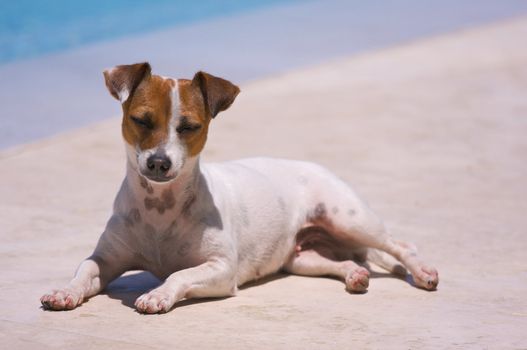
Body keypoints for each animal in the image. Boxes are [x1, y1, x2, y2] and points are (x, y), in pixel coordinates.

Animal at [40, 63, 438, 314]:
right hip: (301, 257)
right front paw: (65, 291)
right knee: (342, 262)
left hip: (349, 219)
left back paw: (422, 273)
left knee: (402, 246)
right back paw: (355, 275)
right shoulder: (105, 260)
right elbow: (84, 271)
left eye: (189, 127)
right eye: (141, 120)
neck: (160, 207)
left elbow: (179, 274)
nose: (158, 163)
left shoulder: (221, 269)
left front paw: (158, 295)